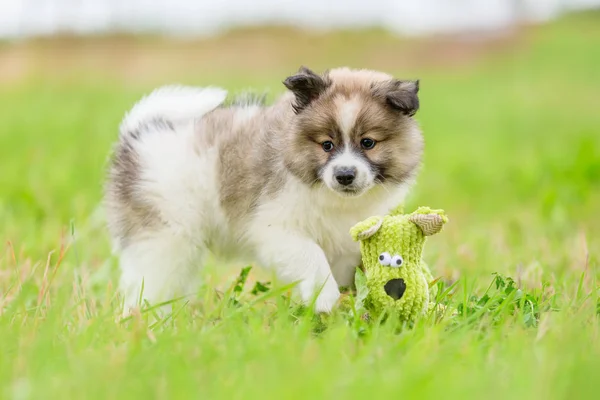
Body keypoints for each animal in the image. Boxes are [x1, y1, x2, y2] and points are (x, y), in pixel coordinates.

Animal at [104, 67, 422, 314]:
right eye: (326, 145)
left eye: (368, 143)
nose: (344, 175)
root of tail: (134, 138)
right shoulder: (276, 229)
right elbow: (311, 257)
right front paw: (325, 299)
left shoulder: (342, 243)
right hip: (162, 240)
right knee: (149, 285)